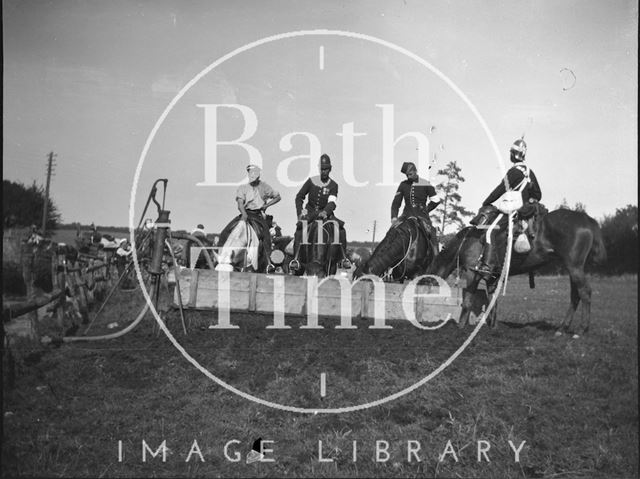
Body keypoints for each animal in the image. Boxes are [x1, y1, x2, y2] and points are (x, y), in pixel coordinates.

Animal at [428, 210, 608, 334]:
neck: (466, 241)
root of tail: (587, 220)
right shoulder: (492, 279)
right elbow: (493, 302)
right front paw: (493, 327)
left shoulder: (473, 273)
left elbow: (467, 301)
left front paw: (460, 327)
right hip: (575, 269)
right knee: (575, 295)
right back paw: (563, 328)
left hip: (574, 267)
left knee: (584, 292)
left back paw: (581, 329)